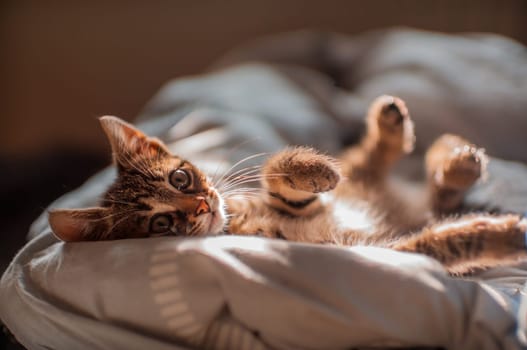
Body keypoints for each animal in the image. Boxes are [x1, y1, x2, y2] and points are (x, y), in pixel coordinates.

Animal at [47, 95, 524, 274]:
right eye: (159, 225)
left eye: (179, 178)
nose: (201, 206)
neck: (241, 221)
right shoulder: (384, 249)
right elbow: (445, 242)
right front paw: (503, 237)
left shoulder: (301, 202)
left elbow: (275, 169)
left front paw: (313, 170)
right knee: (436, 202)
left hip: (369, 183)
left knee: (369, 162)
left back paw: (436, 148)